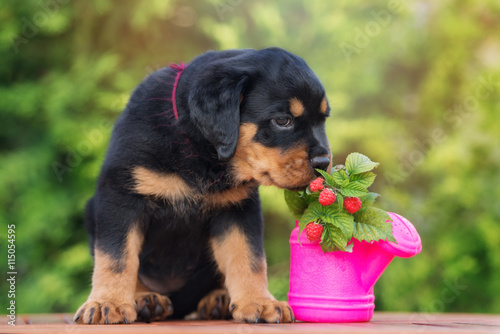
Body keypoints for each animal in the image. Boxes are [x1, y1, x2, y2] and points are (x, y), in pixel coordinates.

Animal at [74, 47, 330, 324]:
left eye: (323, 119)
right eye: (283, 120)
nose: (324, 162)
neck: (199, 149)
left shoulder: (238, 208)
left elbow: (249, 257)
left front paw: (259, 302)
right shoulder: (121, 196)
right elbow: (116, 257)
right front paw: (107, 303)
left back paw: (219, 298)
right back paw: (145, 298)